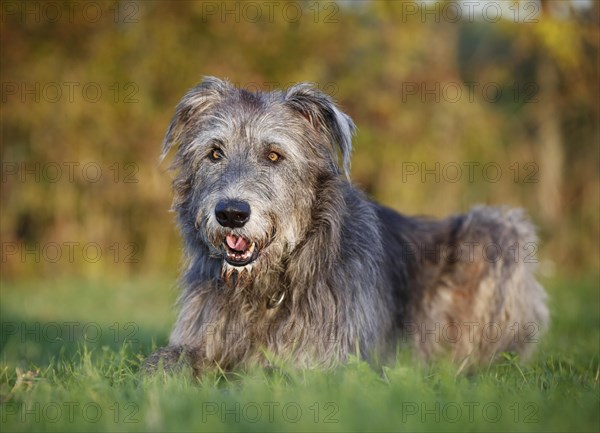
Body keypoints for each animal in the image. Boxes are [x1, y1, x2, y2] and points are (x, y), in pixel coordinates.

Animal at [145, 77, 548, 374]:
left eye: (274, 155)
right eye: (215, 153)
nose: (231, 213)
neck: (266, 286)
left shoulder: (330, 360)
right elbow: (160, 365)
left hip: (497, 231)